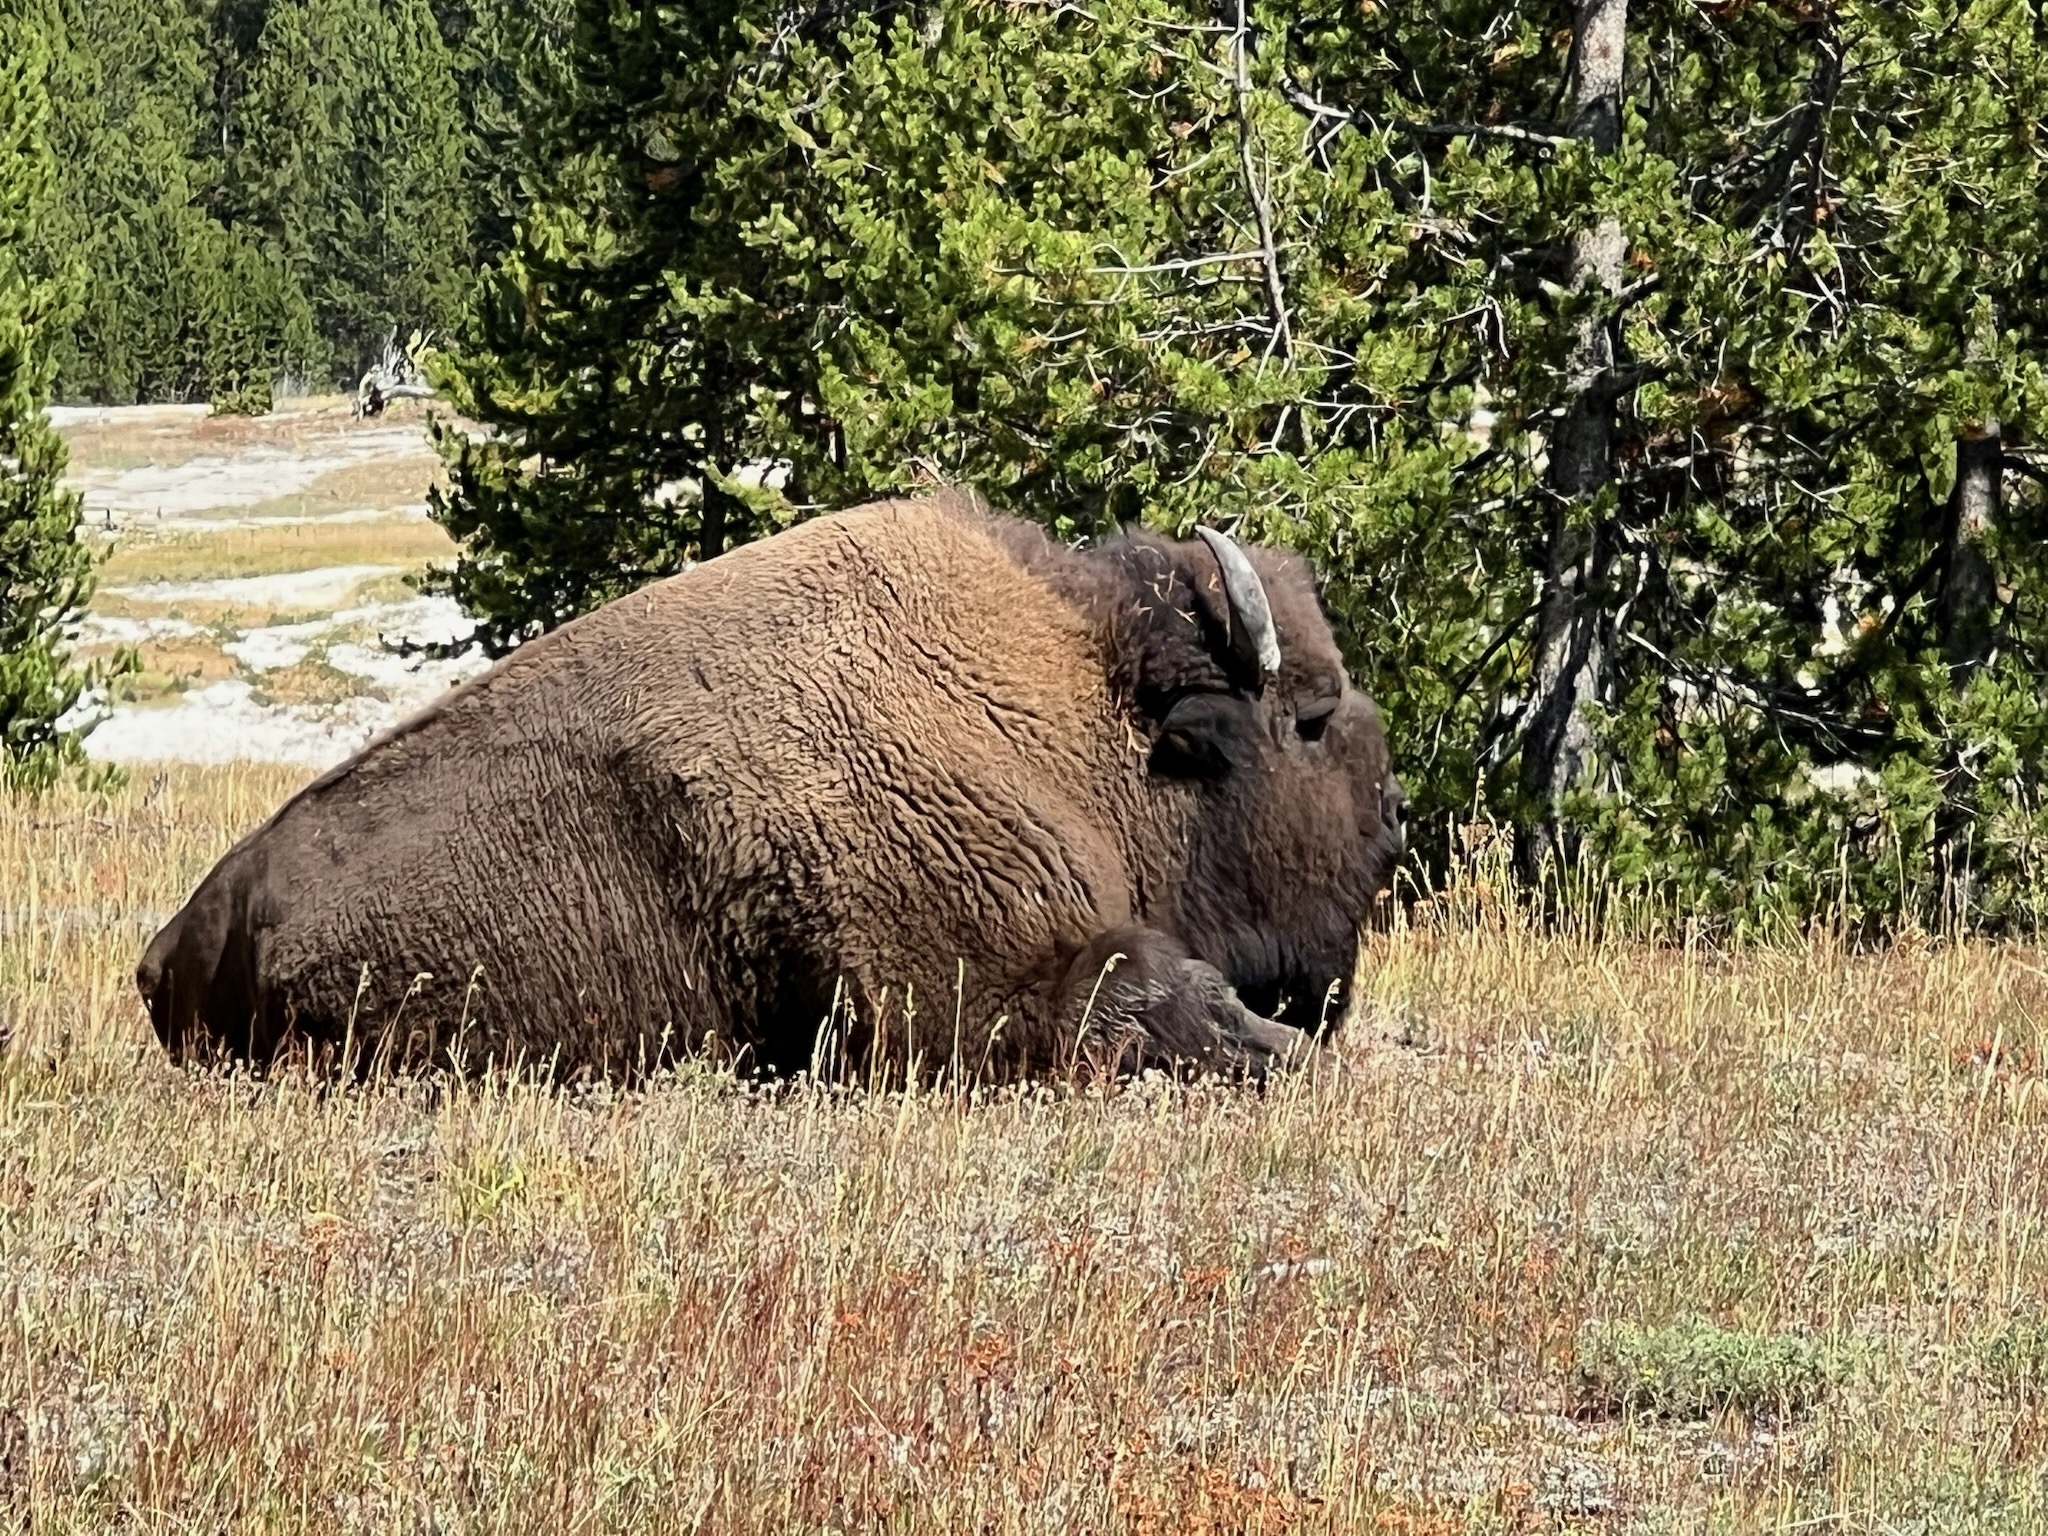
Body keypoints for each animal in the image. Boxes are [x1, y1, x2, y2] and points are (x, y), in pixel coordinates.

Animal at [137, 491, 1406, 1081]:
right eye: (1307, 720)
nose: (1395, 820)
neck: (1083, 706)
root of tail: (171, 944)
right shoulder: (963, 982)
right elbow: (1152, 994)